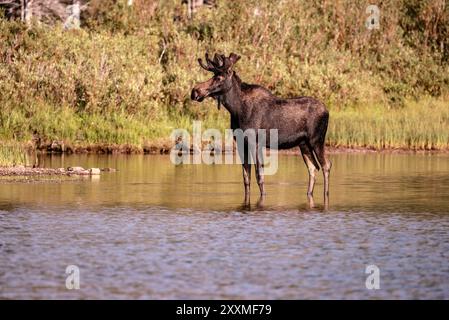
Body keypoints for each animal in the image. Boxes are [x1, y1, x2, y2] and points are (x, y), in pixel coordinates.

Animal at [191, 52, 330, 202]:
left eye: (218, 77)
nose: (195, 91)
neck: (236, 110)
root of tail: (327, 111)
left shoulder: (255, 142)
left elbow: (259, 176)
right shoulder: (241, 143)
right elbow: (246, 178)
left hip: (316, 140)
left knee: (326, 165)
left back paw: (326, 194)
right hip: (303, 144)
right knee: (313, 168)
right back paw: (309, 194)